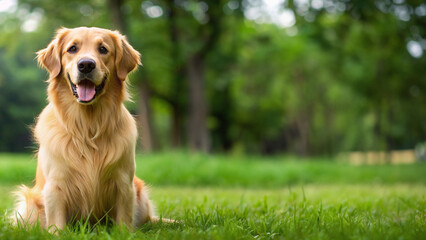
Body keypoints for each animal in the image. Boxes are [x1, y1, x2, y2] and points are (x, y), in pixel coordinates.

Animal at [14, 27, 160, 233]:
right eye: (72, 48)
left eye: (103, 49)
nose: (86, 65)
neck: (87, 127)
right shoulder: (55, 185)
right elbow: (57, 225)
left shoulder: (124, 183)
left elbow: (124, 221)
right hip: (30, 204)